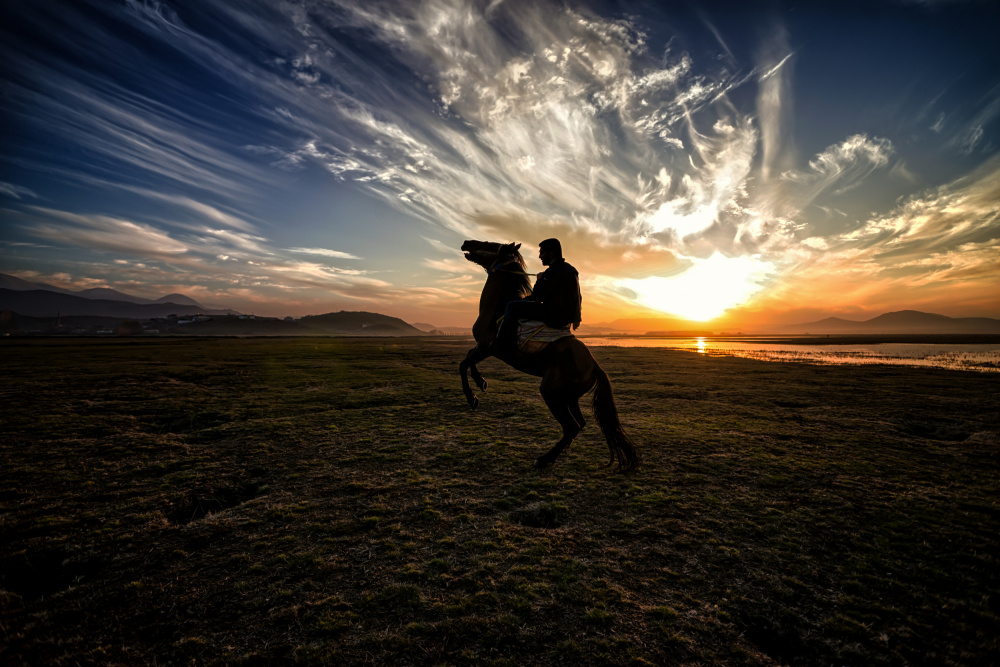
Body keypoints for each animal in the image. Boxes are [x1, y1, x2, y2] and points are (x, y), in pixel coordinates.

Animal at [459, 240, 640, 472]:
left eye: (491, 244)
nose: (466, 243)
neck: (496, 310)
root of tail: (594, 366)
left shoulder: (488, 348)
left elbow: (464, 364)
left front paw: (472, 398)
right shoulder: (483, 348)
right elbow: (468, 360)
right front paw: (481, 383)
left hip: (551, 393)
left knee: (571, 427)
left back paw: (544, 459)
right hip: (569, 397)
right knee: (579, 424)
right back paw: (552, 456)